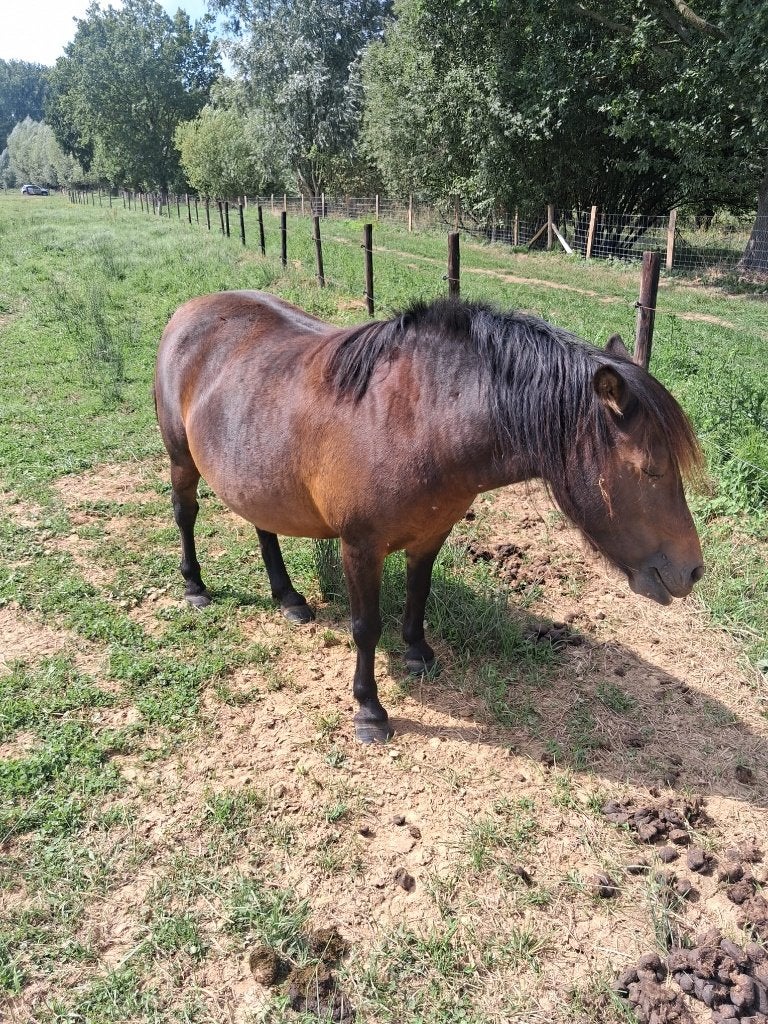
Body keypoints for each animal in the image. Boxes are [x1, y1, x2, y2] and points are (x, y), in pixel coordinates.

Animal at [154, 291, 704, 743]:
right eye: (650, 469)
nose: (693, 570)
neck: (419, 421)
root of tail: (189, 310)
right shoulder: (361, 547)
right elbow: (365, 626)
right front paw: (369, 711)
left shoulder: (430, 534)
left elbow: (418, 596)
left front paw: (418, 654)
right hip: (182, 460)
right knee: (186, 514)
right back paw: (195, 586)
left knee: (263, 525)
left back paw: (288, 598)